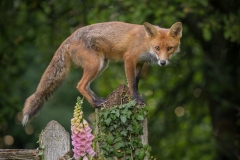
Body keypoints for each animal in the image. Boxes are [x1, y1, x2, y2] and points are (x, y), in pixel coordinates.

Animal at [22, 21, 182, 125]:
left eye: (169, 48)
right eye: (157, 48)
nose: (162, 63)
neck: (146, 42)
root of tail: (68, 38)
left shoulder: (140, 63)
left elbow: (136, 81)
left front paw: (138, 96)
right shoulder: (129, 59)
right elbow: (131, 82)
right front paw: (136, 99)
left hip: (102, 65)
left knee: (86, 86)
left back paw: (97, 100)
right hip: (95, 64)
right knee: (80, 85)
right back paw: (95, 102)